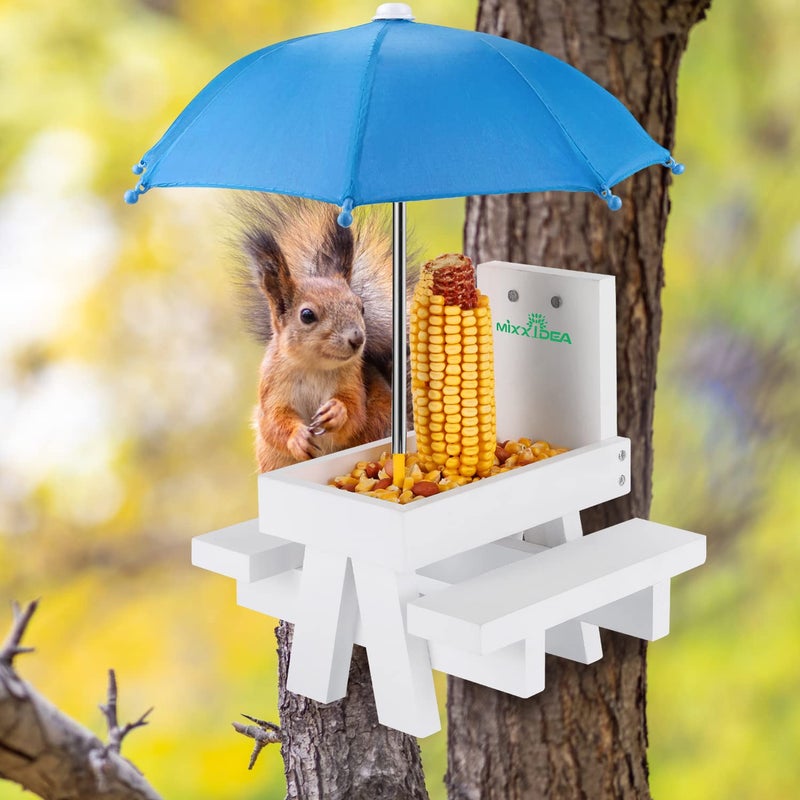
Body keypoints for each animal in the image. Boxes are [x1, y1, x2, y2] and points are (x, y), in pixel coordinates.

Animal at [237, 195, 412, 473]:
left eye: (361, 307)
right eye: (307, 315)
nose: (357, 338)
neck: (313, 366)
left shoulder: (352, 381)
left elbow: (355, 413)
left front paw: (336, 412)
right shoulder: (271, 388)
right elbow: (273, 423)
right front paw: (297, 437)